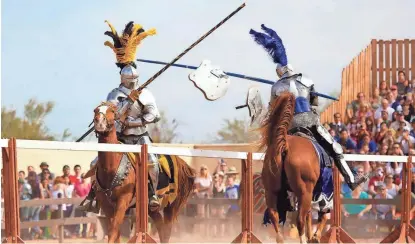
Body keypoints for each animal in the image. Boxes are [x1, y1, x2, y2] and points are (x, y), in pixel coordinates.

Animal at [92, 101, 196, 242]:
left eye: (112, 111)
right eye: (95, 110)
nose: (99, 122)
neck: (111, 168)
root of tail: (178, 160)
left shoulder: (122, 202)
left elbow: (113, 231)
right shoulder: (106, 205)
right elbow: (114, 233)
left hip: (170, 204)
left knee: (166, 230)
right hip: (151, 208)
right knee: (160, 226)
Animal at [258, 92, 334, 243]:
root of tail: (285, 146)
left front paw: (312, 236)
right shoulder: (322, 191)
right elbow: (321, 215)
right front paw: (315, 237)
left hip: (272, 192)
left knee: (275, 216)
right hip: (305, 192)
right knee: (300, 219)